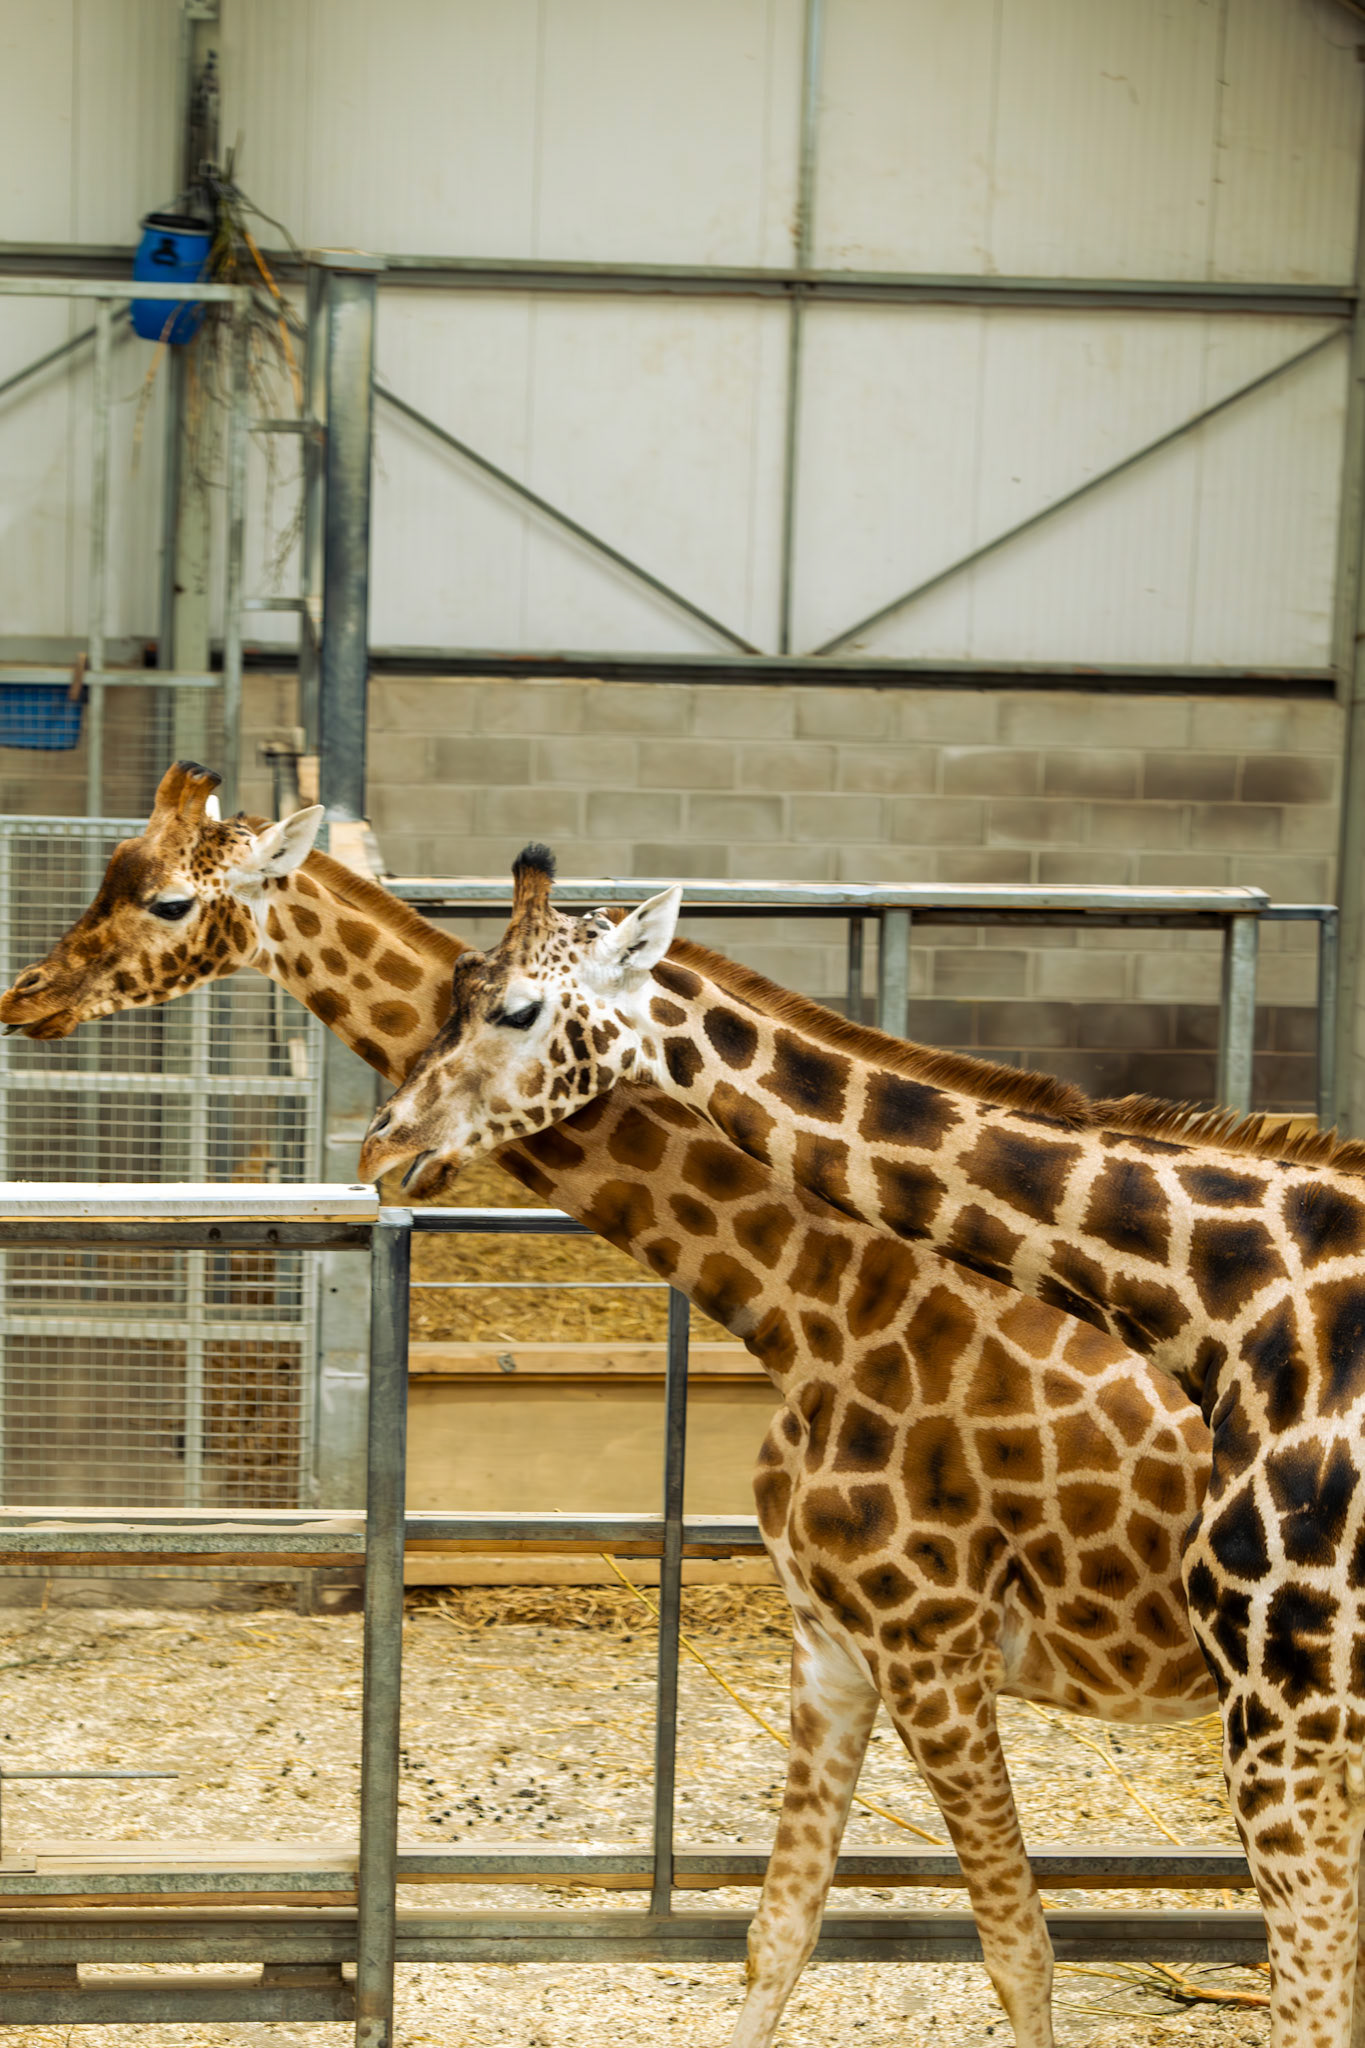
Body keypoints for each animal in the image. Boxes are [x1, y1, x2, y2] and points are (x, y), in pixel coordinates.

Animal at [0, 764, 1217, 2048]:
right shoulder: (834, 1634)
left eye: (171, 899)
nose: (26, 993)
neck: (829, 1308)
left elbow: (1019, 1945)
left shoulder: (936, 1640)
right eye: (110, 871)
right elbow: (779, 1930)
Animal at [361, 842, 1365, 2048]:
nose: (383, 1142)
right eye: (453, 988)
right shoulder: (836, 1641)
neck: (1242, 1290)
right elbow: (780, 1926)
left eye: (514, 1006)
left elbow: (1056, 1949)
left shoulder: (1259, 1693)